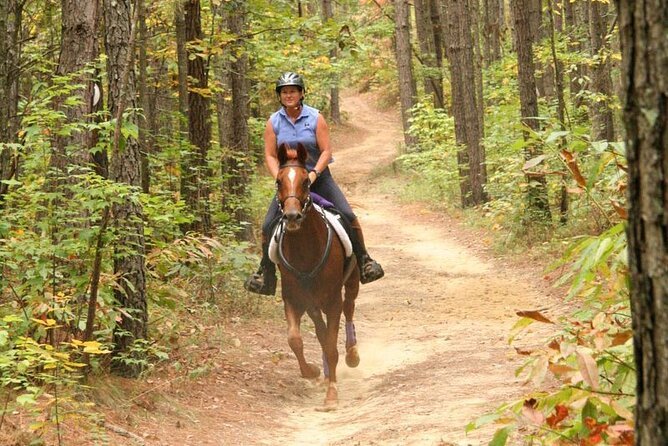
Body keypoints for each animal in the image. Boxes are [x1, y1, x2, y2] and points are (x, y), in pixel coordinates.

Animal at [273, 142, 360, 410]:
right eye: (279, 181)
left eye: (305, 181)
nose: (292, 216)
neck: (305, 250)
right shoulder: (296, 299)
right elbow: (296, 340)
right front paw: (311, 371)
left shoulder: (332, 301)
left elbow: (331, 345)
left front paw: (332, 394)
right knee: (321, 333)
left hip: (351, 283)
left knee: (349, 308)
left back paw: (352, 354)